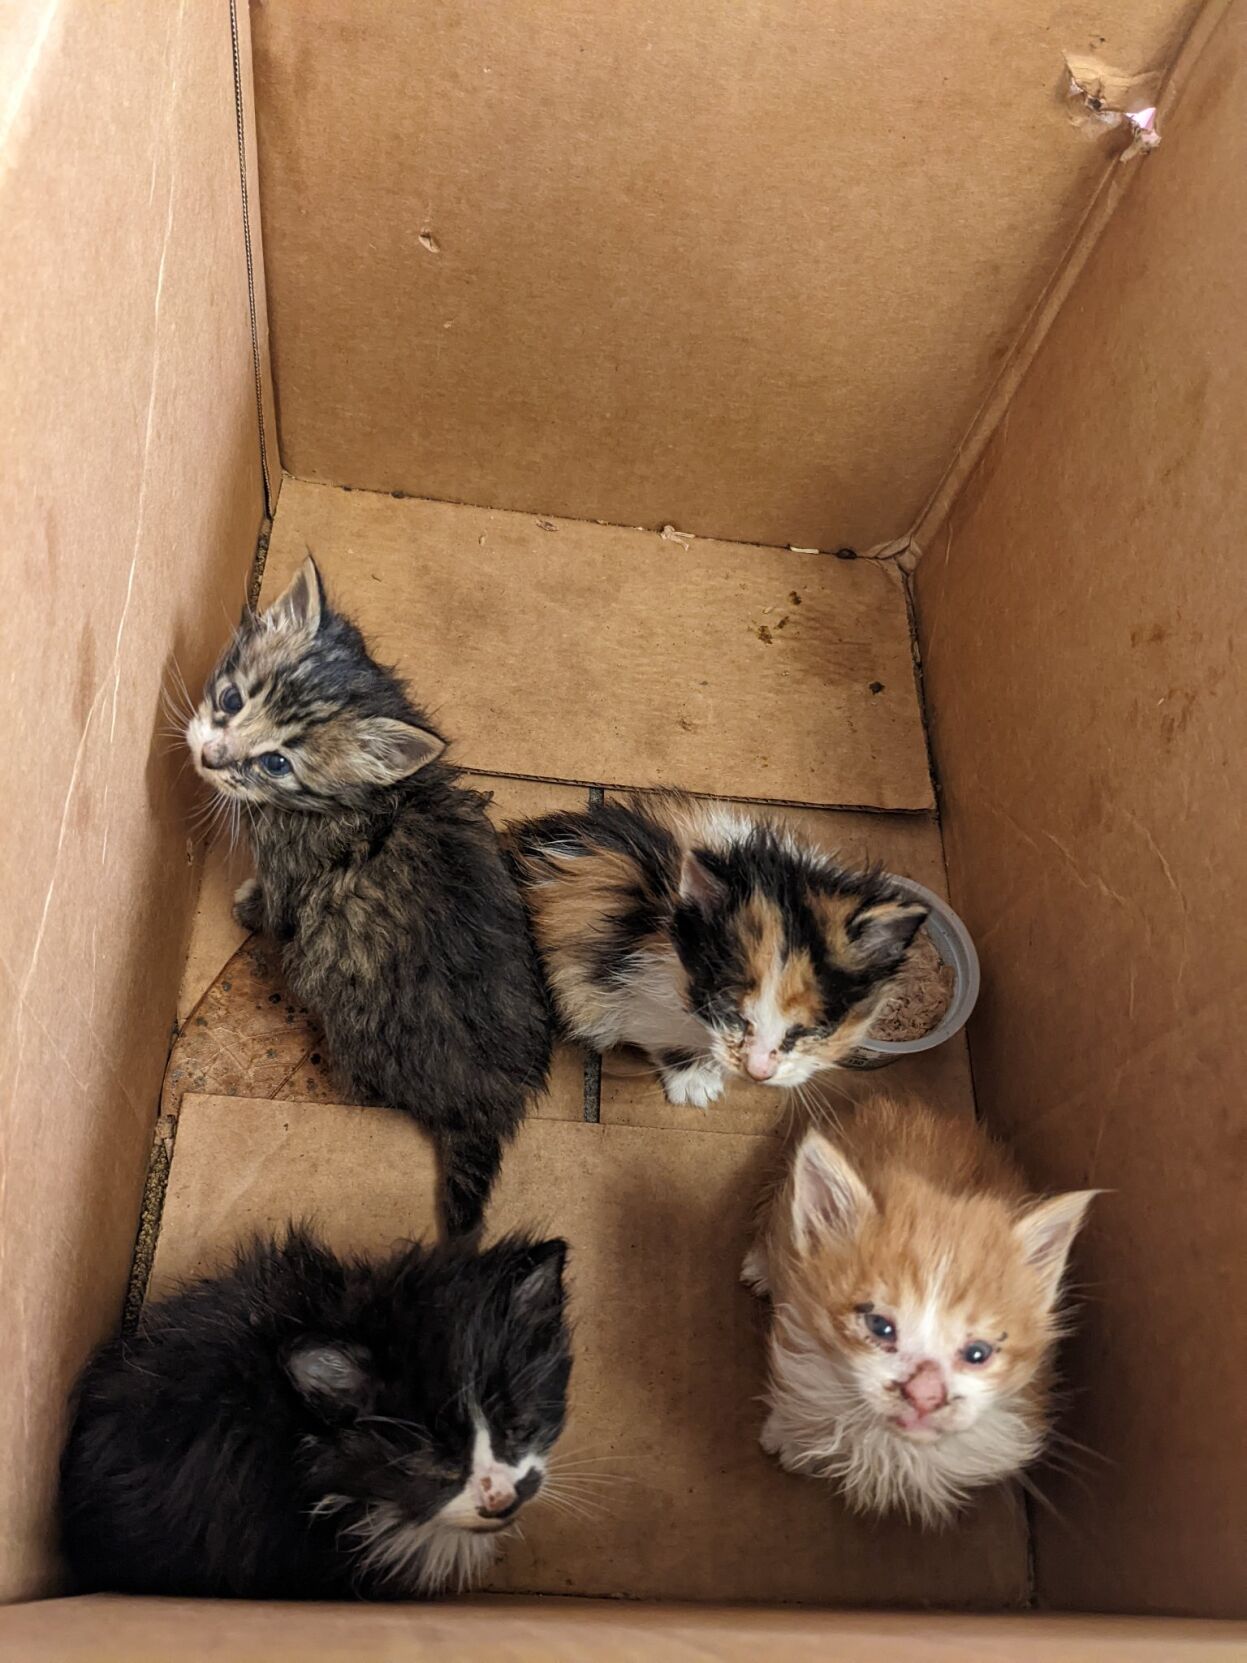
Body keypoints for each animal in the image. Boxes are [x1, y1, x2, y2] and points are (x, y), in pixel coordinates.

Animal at [185, 558, 552, 1237]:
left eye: (277, 763)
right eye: (231, 699)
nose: (209, 755)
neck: (363, 798)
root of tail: (491, 1100)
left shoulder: (291, 875)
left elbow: (271, 908)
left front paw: (245, 904)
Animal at [508, 791, 931, 1104]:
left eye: (815, 1030)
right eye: (732, 1012)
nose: (759, 1072)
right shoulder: (635, 985)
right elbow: (662, 1035)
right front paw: (694, 1083)